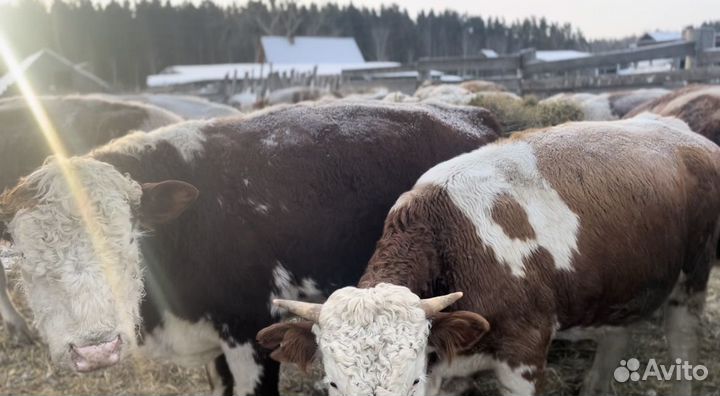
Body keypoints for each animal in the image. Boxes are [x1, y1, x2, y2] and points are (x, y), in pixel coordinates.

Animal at [258, 113, 720, 396]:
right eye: (334, 384)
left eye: (411, 381)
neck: (444, 242)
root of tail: (683, 132)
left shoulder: (524, 354)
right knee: (616, 331)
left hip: (693, 275)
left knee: (683, 340)